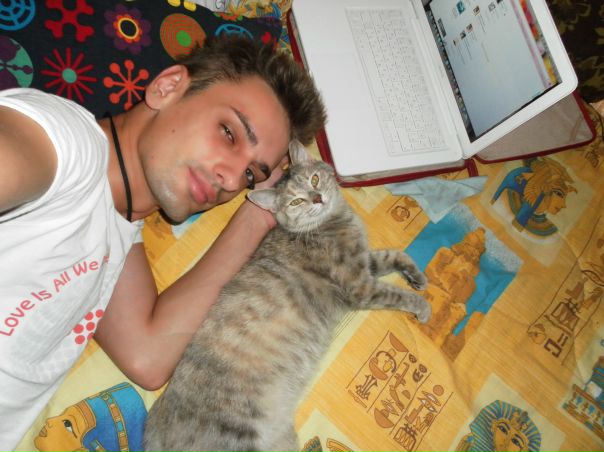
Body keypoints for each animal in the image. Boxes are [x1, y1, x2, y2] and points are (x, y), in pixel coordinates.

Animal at [143, 140, 431, 452]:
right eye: (296, 202)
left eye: (314, 180)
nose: (317, 198)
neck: (334, 222)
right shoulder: (360, 286)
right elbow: (398, 294)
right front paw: (422, 306)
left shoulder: (366, 262)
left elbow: (396, 255)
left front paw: (417, 277)